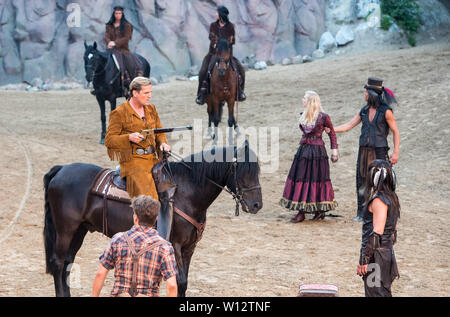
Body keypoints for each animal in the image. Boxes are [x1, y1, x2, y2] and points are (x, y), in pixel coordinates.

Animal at [44, 141, 262, 296]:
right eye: (244, 171)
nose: (257, 205)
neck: (186, 192)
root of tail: (61, 169)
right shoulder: (176, 244)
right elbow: (179, 280)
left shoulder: (190, 247)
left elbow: (184, 282)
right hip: (65, 229)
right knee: (58, 262)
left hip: (79, 229)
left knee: (68, 262)